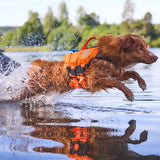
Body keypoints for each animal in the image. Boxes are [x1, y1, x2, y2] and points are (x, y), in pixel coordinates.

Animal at [19, 34, 158, 101]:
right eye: (140, 48)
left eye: (146, 46)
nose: (156, 57)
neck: (107, 55)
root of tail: (38, 66)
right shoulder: (93, 80)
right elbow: (117, 83)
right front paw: (129, 94)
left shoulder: (115, 72)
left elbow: (133, 73)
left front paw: (142, 83)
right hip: (31, 89)